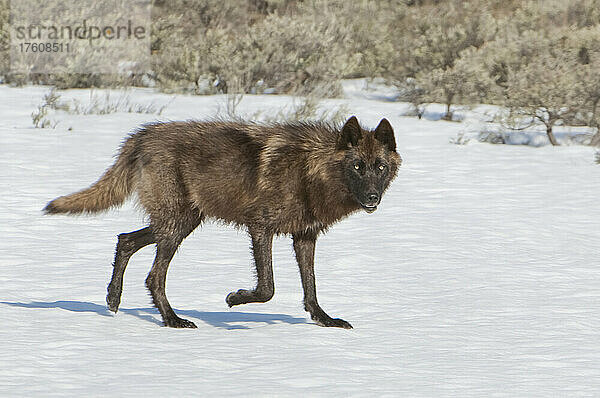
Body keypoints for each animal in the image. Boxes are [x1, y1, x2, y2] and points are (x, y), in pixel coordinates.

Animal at [44, 116, 400, 330]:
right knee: (153, 275)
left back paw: (113, 299)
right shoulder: (260, 228)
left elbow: (310, 287)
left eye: (379, 167)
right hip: (176, 226)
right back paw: (172, 320)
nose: (372, 198)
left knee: (125, 239)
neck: (310, 171)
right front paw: (235, 298)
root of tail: (144, 133)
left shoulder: (305, 237)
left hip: (181, 222)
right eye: (357, 166)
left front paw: (325, 320)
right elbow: (267, 287)